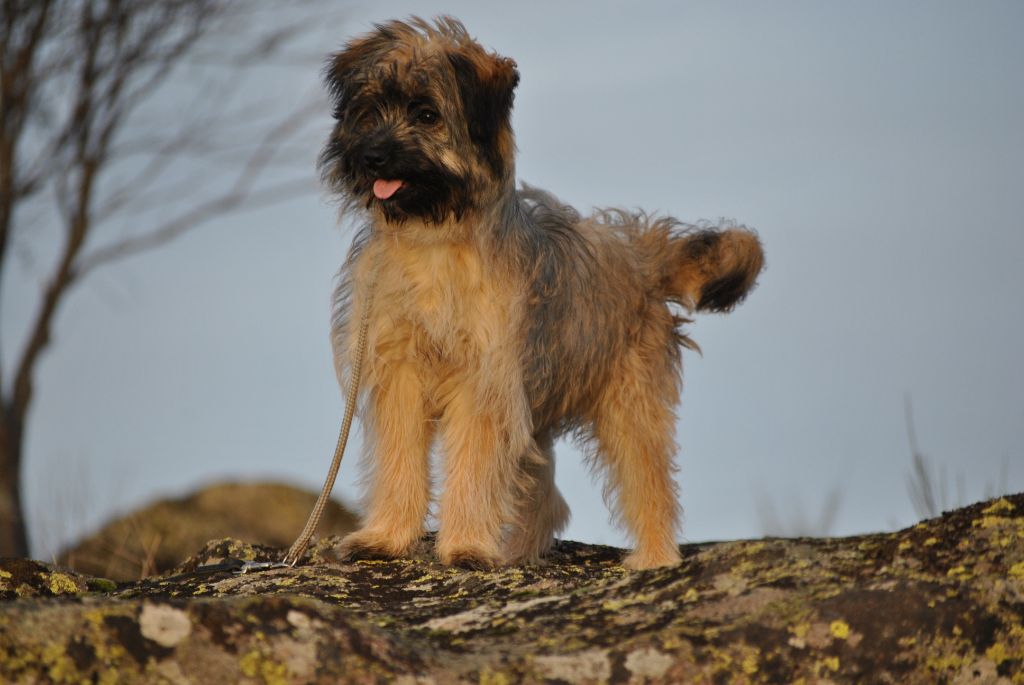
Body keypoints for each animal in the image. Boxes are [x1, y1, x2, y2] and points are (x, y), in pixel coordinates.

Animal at [319, 18, 761, 569]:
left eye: (426, 114)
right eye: (370, 109)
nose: (373, 155)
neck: (435, 238)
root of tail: (640, 252)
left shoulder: (485, 379)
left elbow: (474, 463)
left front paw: (466, 545)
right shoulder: (401, 370)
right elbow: (400, 456)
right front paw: (386, 537)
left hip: (628, 400)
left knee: (648, 480)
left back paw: (654, 558)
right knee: (546, 495)